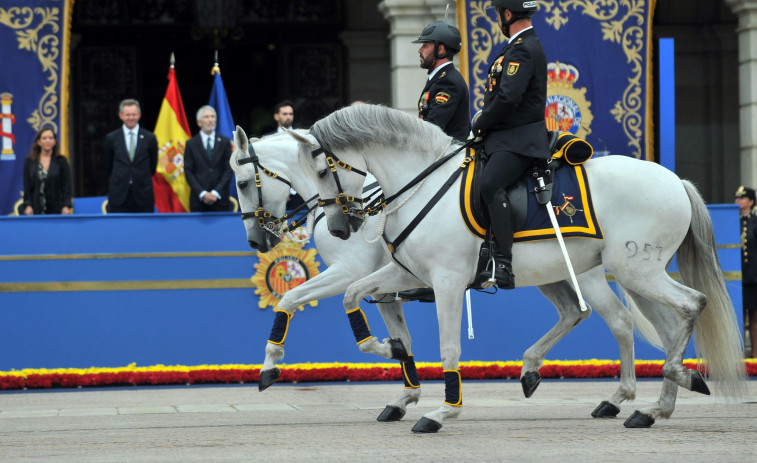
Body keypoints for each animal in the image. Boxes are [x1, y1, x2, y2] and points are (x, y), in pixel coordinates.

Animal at [235, 127, 644, 424]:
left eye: (240, 182)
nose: (255, 240)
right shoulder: (385, 285)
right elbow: (402, 337)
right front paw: (405, 391)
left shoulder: (347, 272)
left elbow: (291, 297)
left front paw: (269, 366)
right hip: (550, 274)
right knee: (574, 313)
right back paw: (534, 371)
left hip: (585, 275)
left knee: (619, 321)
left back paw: (617, 398)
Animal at [290, 103, 744, 434]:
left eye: (321, 170)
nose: (336, 227)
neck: (420, 185)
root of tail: (675, 180)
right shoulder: (408, 275)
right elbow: (353, 296)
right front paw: (392, 350)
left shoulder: (448, 281)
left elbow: (450, 347)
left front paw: (441, 412)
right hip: (624, 275)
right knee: (650, 323)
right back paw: (651, 406)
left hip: (635, 272)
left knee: (688, 304)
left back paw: (671, 381)